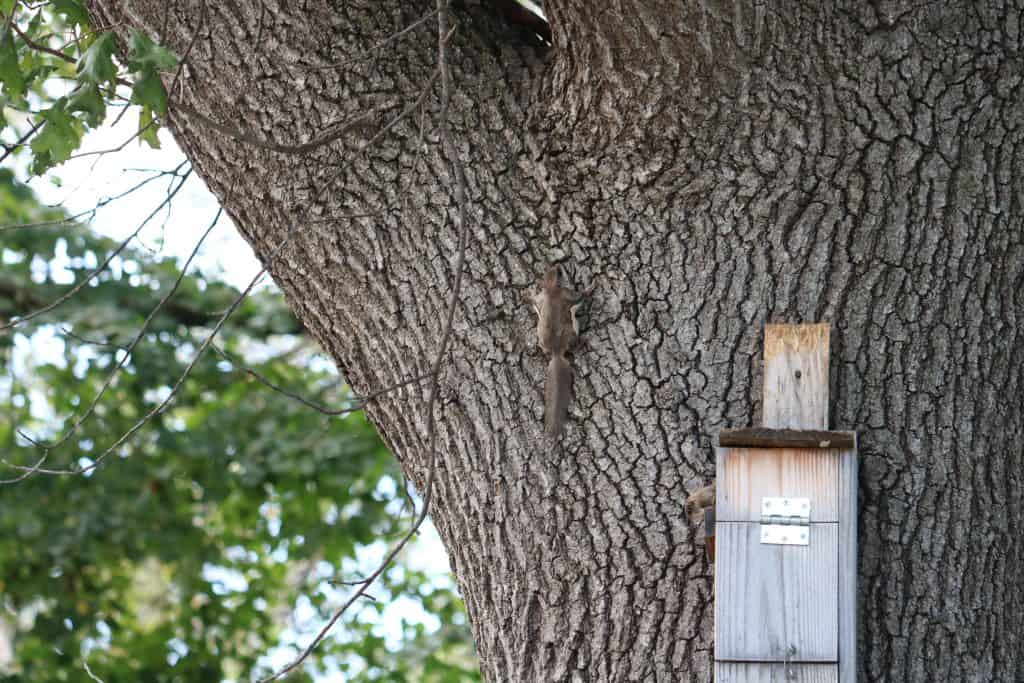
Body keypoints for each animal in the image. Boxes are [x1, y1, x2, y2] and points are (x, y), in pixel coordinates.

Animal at [532, 265, 585, 439]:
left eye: (548, 270)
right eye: (559, 273)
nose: (558, 265)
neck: (551, 290)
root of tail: (556, 353)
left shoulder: (540, 298)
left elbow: (533, 300)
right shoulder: (567, 294)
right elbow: (581, 295)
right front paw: (593, 284)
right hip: (573, 333)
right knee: (575, 344)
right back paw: (583, 344)